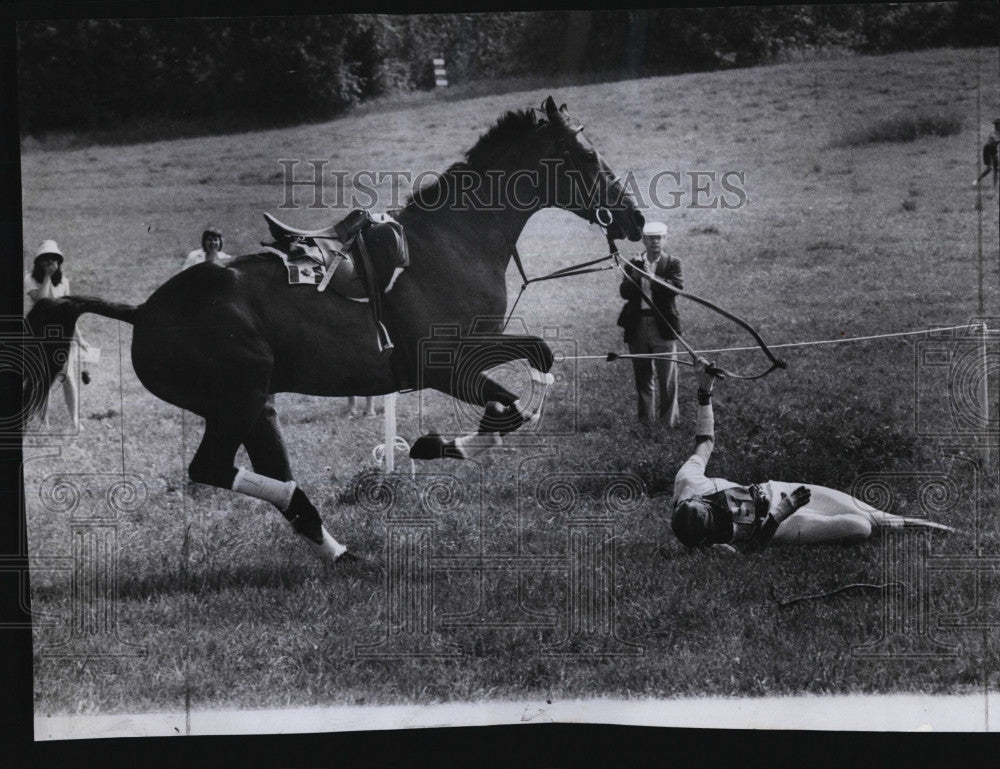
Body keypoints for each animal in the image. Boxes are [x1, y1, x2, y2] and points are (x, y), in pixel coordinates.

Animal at [29, 99, 648, 560]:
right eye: (585, 155)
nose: (635, 217)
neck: (454, 242)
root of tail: (145, 311)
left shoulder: (472, 353)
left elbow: (536, 364)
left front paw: (442, 442)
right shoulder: (444, 365)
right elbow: (513, 402)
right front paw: (432, 444)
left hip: (254, 404)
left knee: (256, 467)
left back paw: (336, 546)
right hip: (237, 396)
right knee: (213, 468)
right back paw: (307, 509)